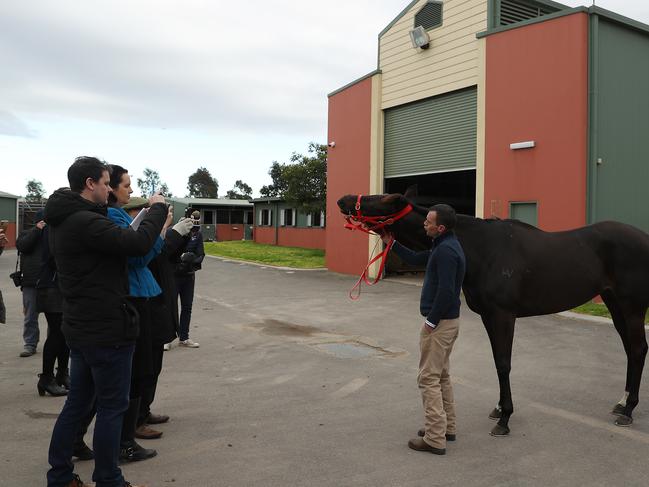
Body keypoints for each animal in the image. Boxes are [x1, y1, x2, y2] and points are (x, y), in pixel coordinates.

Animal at [340, 190, 648, 434]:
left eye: (382, 199)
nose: (343, 200)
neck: (482, 250)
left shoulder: (503, 316)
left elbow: (503, 363)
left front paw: (505, 418)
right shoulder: (489, 317)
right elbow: (496, 361)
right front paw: (500, 409)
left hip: (632, 306)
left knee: (638, 349)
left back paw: (629, 410)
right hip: (614, 303)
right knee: (629, 349)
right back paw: (622, 403)